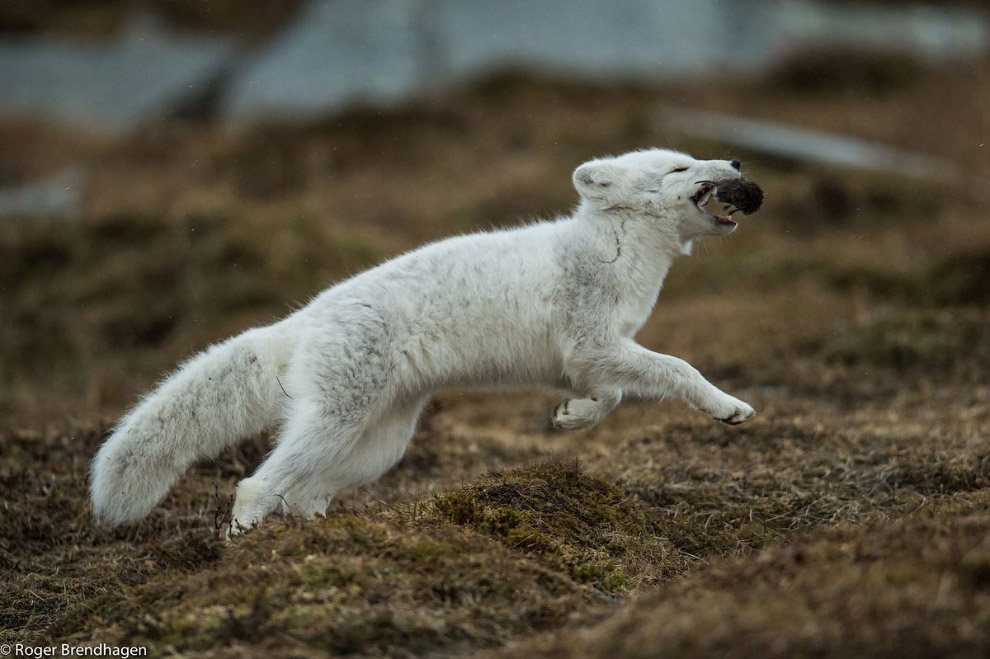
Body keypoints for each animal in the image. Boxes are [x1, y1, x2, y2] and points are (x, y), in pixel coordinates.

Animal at [91, 150, 760, 536]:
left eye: (696, 157)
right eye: (678, 169)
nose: (737, 165)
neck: (615, 252)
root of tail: (301, 320)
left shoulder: (578, 357)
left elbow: (611, 396)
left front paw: (572, 417)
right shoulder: (590, 341)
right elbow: (676, 368)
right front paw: (727, 406)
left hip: (378, 446)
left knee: (304, 492)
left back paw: (322, 542)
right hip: (337, 421)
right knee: (259, 483)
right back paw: (247, 538)